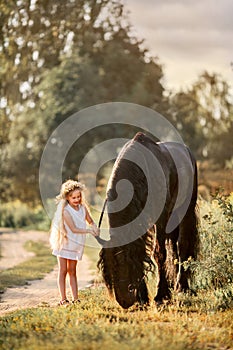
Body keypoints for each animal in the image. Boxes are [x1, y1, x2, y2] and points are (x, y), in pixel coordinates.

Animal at [97, 132, 198, 308]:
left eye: (121, 263)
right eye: (107, 270)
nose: (123, 301)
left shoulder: (161, 218)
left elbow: (158, 253)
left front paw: (160, 295)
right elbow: (141, 250)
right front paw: (142, 297)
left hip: (186, 211)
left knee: (182, 245)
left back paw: (182, 287)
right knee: (173, 246)